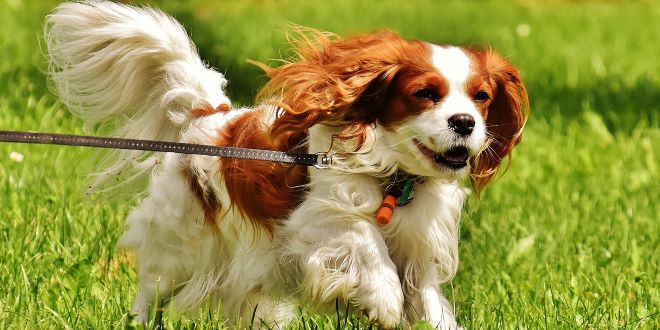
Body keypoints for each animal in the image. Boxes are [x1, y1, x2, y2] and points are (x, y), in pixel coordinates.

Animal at [46, 1, 528, 328]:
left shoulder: (420, 251)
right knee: (152, 288)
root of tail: (208, 114)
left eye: (481, 97)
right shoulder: (313, 223)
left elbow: (427, 301)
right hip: (179, 244)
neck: (395, 177)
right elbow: (366, 238)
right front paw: (384, 299)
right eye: (425, 94)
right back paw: (140, 319)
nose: (464, 122)